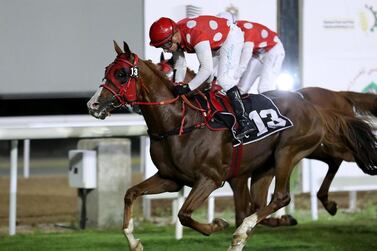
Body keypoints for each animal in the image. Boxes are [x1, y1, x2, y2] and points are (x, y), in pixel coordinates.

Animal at [157, 54, 376, 226]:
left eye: (167, 73)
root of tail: (339, 95)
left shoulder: (235, 174)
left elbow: (246, 210)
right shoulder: (239, 174)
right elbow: (248, 209)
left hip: (317, 145)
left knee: (344, 156)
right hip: (311, 148)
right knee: (335, 159)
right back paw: (327, 201)